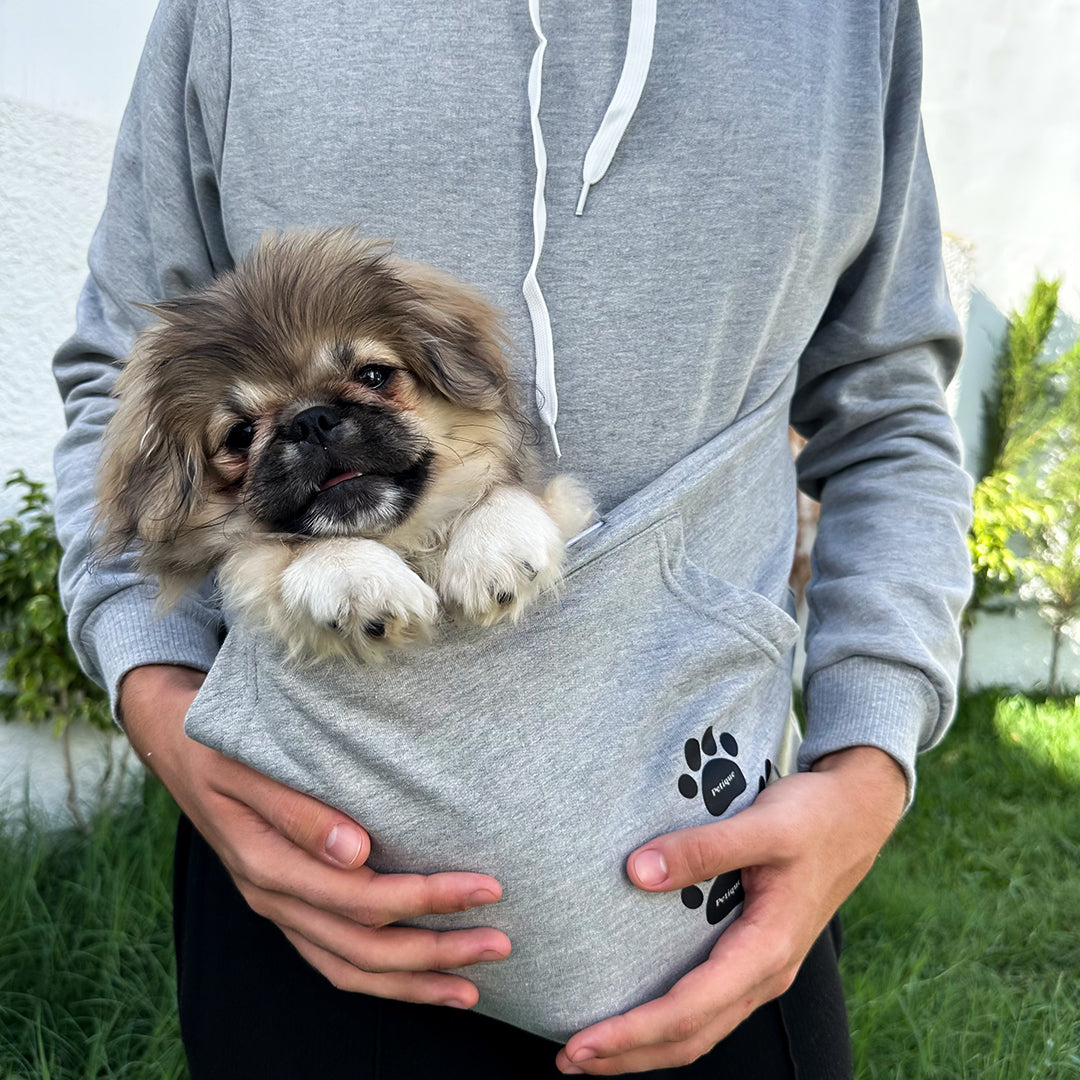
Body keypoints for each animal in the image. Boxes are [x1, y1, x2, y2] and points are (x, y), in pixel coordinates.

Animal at [96, 230, 596, 656]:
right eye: (240, 434)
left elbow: (500, 490)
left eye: (373, 375)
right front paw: (355, 576)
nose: (311, 420)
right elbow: (284, 549)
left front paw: (494, 548)